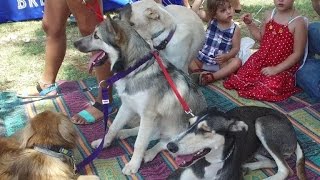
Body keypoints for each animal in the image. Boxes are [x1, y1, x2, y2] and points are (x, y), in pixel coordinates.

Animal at [74, 17, 206, 174]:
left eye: (96, 36)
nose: (74, 43)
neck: (136, 70)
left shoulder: (148, 116)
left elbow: (140, 143)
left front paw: (133, 165)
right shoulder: (127, 106)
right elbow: (113, 128)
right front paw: (104, 143)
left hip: (175, 131)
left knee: (164, 143)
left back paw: (149, 153)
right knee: (151, 134)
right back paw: (124, 133)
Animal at [166, 106, 306, 180]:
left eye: (205, 130)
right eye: (189, 123)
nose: (170, 146)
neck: (212, 163)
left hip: (262, 123)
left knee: (285, 169)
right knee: (271, 162)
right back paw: (246, 167)